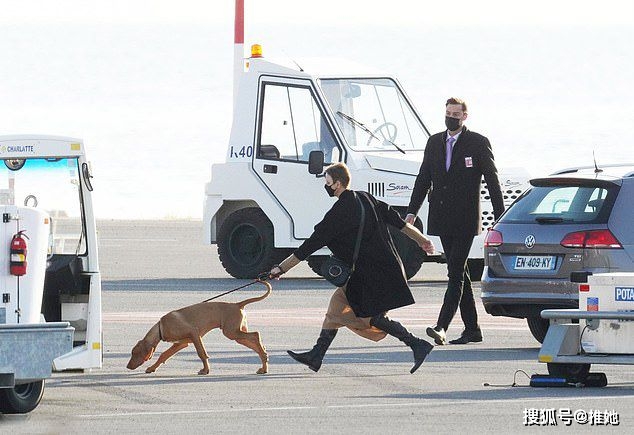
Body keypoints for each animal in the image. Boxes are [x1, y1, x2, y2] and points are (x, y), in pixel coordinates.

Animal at [126, 282, 270, 376]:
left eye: (134, 353)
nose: (127, 366)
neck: (161, 327)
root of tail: (237, 305)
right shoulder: (181, 344)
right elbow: (163, 355)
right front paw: (152, 368)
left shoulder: (195, 334)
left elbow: (202, 354)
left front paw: (205, 370)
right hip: (236, 334)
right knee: (255, 342)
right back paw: (264, 363)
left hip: (231, 332)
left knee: (256, 335)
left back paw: (264, 358)